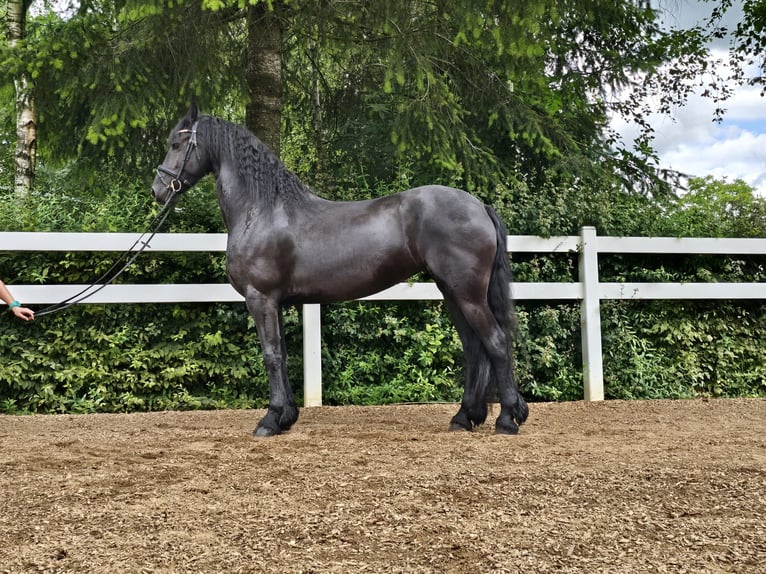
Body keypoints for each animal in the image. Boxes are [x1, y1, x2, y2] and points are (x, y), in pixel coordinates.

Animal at [150, 102, 528, 436]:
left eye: (176, 144)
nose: (157, 190)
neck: (263, 210)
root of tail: (479, 205)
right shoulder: (277, 303)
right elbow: (283, 355)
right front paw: (286, 417)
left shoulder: (261, 299)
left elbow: (271, 355)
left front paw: (270, 420)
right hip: (451, 292)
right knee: (474, 348)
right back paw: (465, 417)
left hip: (467, 294)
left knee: (495, 343)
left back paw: (508, 419)